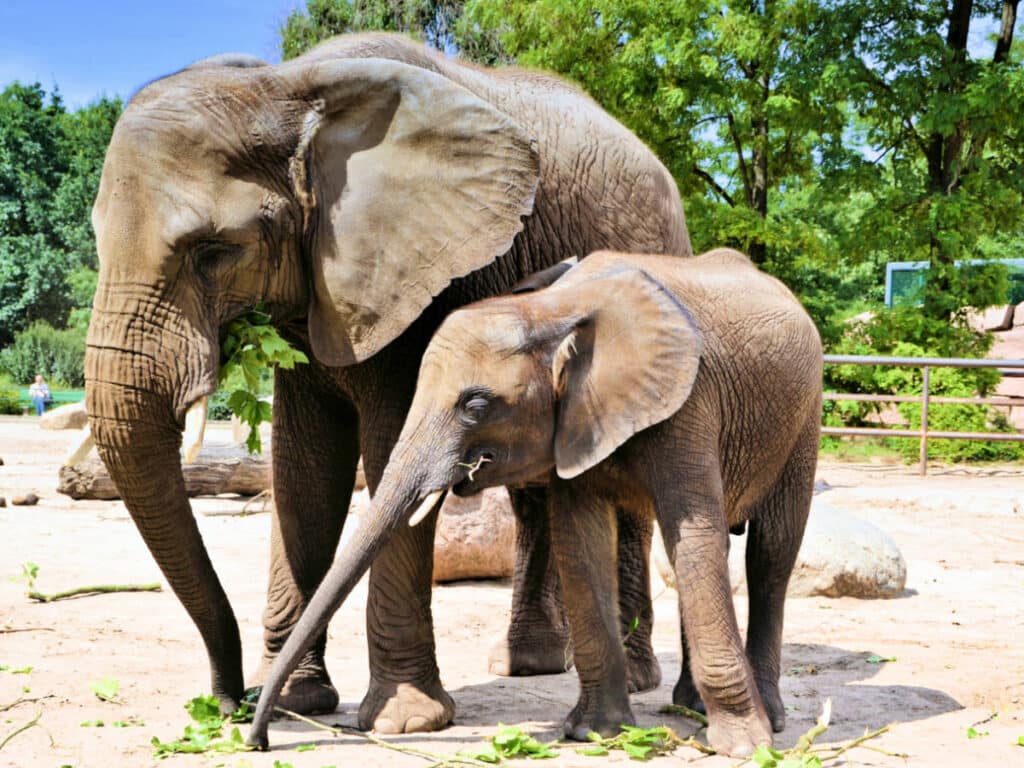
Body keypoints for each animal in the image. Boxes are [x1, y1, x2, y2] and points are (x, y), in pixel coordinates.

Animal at [84, 33, 690, 733]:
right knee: (533, 492)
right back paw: (525, 663)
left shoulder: (426, 281)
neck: (288, 87)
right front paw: (293, 703)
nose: (228, 703)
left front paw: (403, 721)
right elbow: (303, 471)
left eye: (213, 251)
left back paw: (636, 676)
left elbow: (389, 456)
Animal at [247, 249, 823, 757]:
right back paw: (690, 707)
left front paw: (745, 748)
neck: (551, 310)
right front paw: (595, 734)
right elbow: (581, 539)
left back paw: (764, 717)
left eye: (476, 405)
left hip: (805, 421)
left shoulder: (689, 402)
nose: (258, 739)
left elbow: (696, 534)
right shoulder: (573, 420)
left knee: (770, 556)